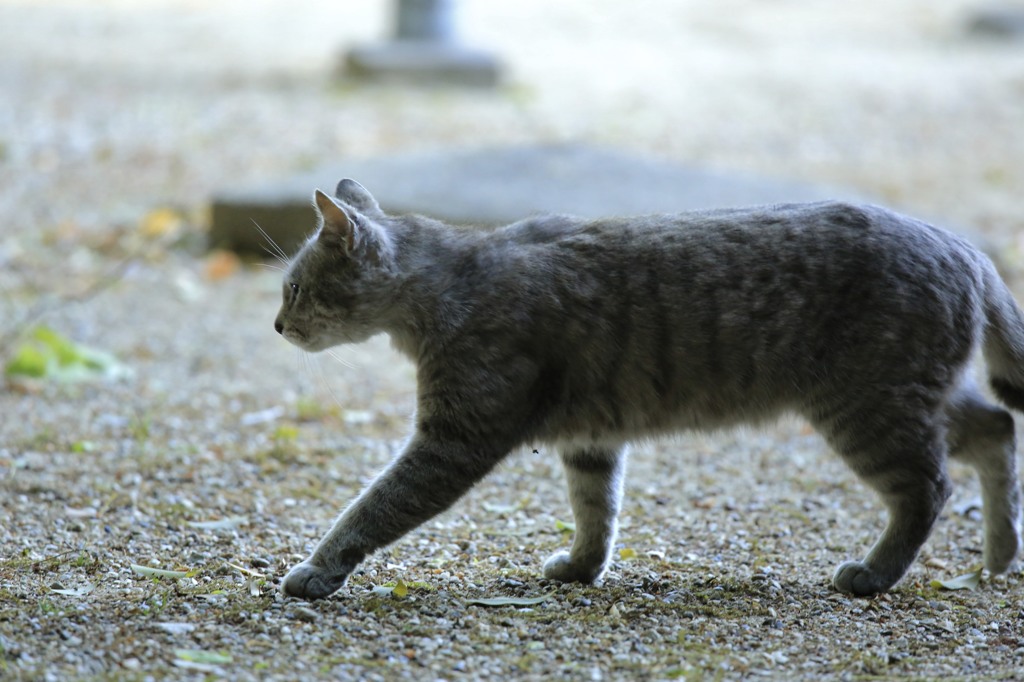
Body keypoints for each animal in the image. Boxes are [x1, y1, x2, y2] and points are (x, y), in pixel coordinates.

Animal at [272, 178, 1024, 598]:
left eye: (295, 288)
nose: (277, 324)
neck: (452, 282)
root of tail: (967, 249)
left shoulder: (452, 441)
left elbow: (370, 507)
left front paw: (318, 570)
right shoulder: (590, 438)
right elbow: (596, 512)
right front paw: (581, 569)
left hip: (870, 410)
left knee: (929, 489)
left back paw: (875, 573)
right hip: (913, 400)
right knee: (998, 430)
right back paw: (1001, 555)